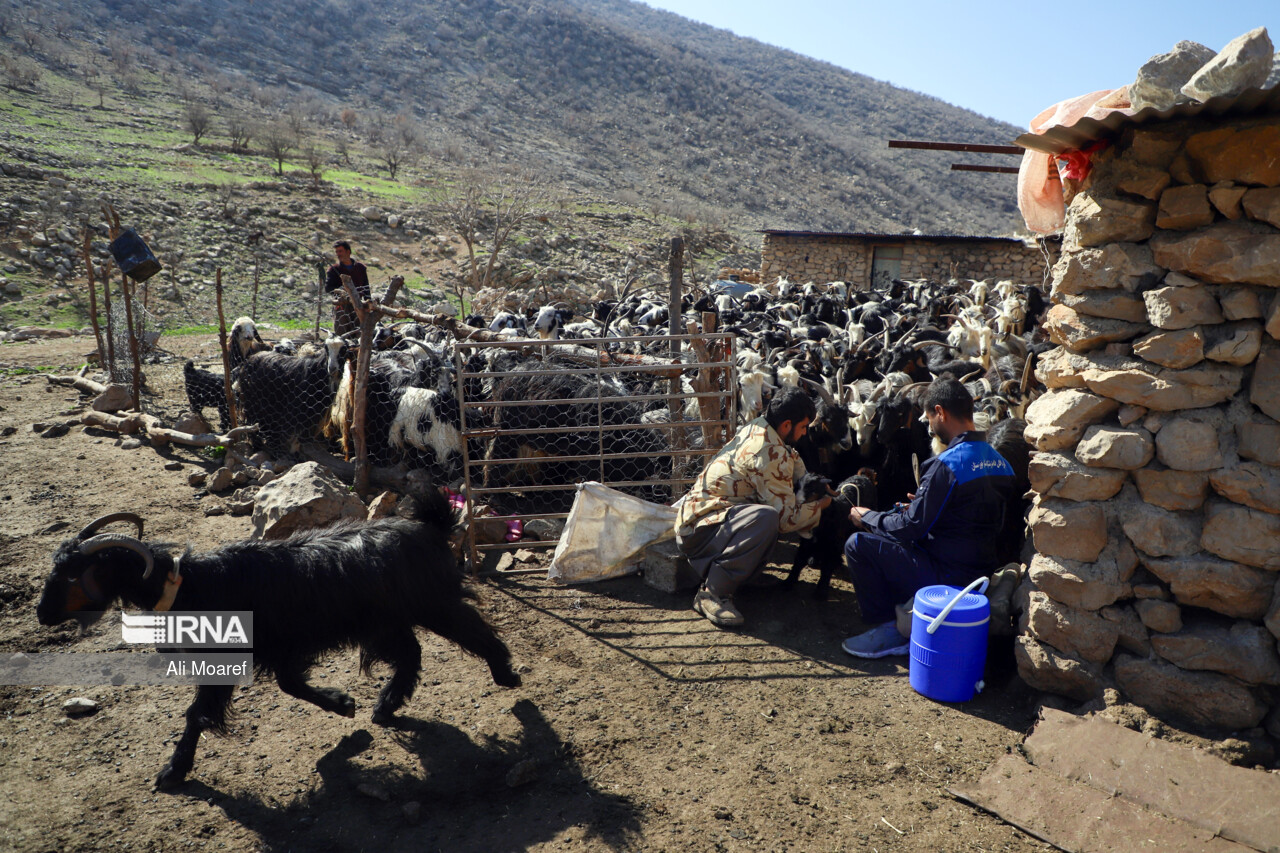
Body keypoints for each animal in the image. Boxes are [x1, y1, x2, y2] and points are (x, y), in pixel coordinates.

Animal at [40, 491, 519, 788]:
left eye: (71, 575)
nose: (43, 614)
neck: (194, 584)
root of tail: (430, 528)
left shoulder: (246, 654)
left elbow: (199, 714)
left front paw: (174, 772)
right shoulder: (285, 648)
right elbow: (290, 685)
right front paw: (344, 706)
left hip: (431, 602)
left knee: (474, 632)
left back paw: (507, 676)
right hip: (387, 621)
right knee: (411, 655)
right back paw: (385, 707)